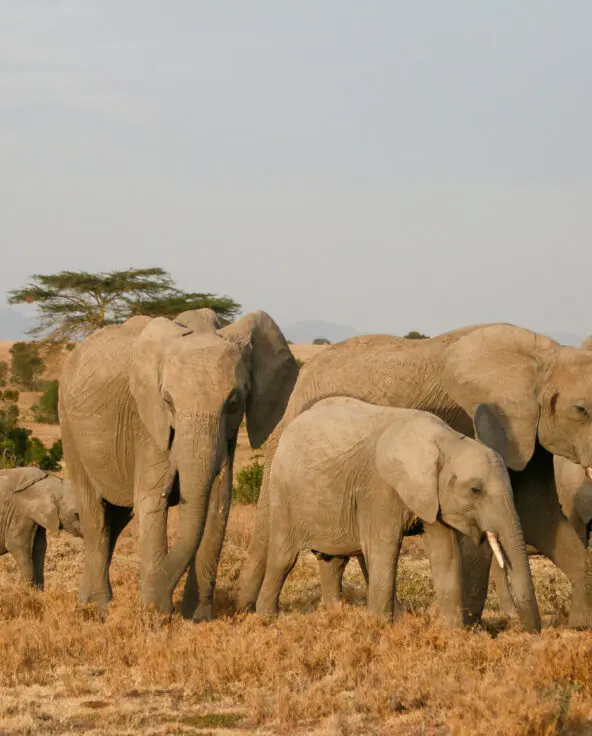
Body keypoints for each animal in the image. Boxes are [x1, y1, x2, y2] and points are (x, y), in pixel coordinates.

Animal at [59, 308, 298, 619]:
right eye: (168, 401)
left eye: (234, 403)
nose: (163, 604)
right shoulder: (147, 425)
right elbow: (151, 500)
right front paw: (156, 614)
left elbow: (217, 504)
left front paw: (198, 618)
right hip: (68, 426)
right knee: (96, 518)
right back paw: (101, 607)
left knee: (116, 520)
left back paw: (86, 602)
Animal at [256, 397, 540, 631]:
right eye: (475, 490)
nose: (531, 632)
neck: (444, 441)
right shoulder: (380, 488)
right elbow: (384, 549)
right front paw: (379, 630)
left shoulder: (431, 496)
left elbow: (445, 553)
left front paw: (453, 634)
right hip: (282, 491)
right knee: (283, 558)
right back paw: (267, 619)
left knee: (333, 562)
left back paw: (333, 616)